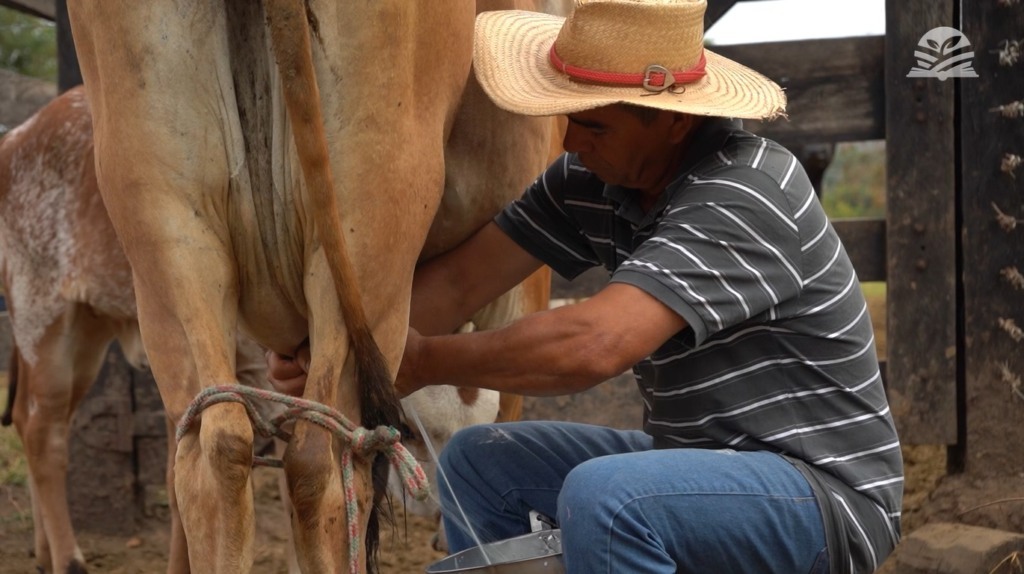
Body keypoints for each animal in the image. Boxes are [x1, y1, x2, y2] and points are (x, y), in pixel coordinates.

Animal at [66, 1, 561, 572]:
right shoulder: (523, 275)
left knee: (213, 448)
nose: (439, 532)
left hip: (168, 244)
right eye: (422, 434)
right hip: (368, 234)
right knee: (325, 461)